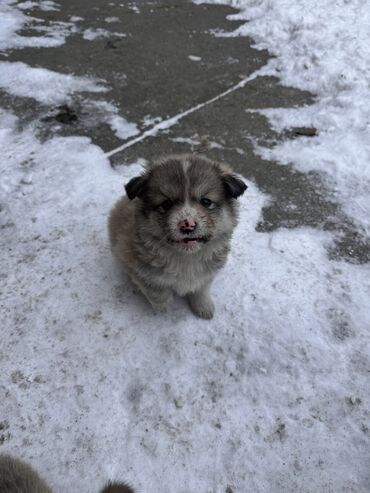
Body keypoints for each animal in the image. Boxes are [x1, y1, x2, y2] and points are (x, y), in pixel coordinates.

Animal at [110, 152, 249, 320]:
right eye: (166, 204)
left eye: (206, 201)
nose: (187, 225)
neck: (186, 258)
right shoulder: (135, 264)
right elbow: (157, 291)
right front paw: (164, 308)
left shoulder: (207, 274)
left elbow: (201, 289)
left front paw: (203, 306)